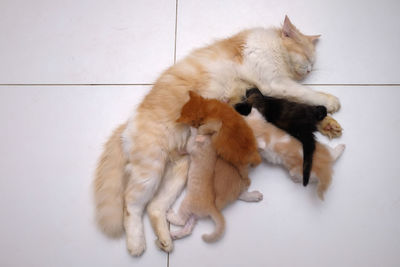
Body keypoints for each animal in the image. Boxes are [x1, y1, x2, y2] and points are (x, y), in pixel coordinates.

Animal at [94, 15, 340, 258]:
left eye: (312, 62)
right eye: (308, 57)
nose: (309, 71)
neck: (272, 44)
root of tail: (127, 123)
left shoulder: (270, 92)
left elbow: (301, 103)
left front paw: (329, 124)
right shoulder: (274, 83)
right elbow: (306, 93)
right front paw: (331, 102)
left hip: (180, 170)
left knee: (155, 207)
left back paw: (165, 241)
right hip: (150, 169)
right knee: (131, 205)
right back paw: (136, 243)